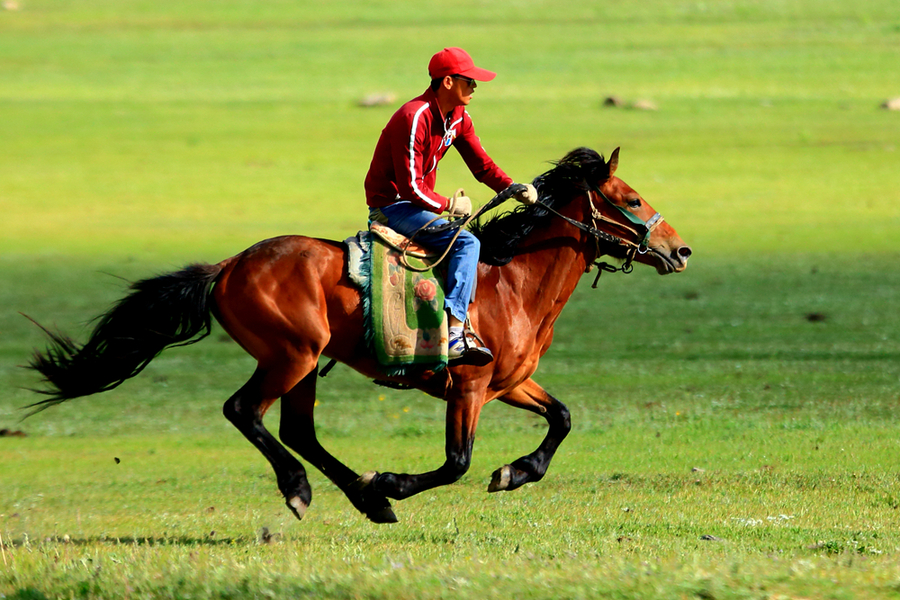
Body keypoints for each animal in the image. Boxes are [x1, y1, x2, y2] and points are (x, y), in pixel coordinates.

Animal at [26, 146, 688, 524]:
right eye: (631, 199)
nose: (678, 249)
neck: (512, 279)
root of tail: (230, 265)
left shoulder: (511, 383)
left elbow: (563, 418)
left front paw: (515, 472)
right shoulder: (469, 387)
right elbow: (456, 462)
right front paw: (394, 480)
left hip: (301, 365)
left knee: (296, 429)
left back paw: (365, 500)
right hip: (290, 356)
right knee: (244, 411)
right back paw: (309, 489)